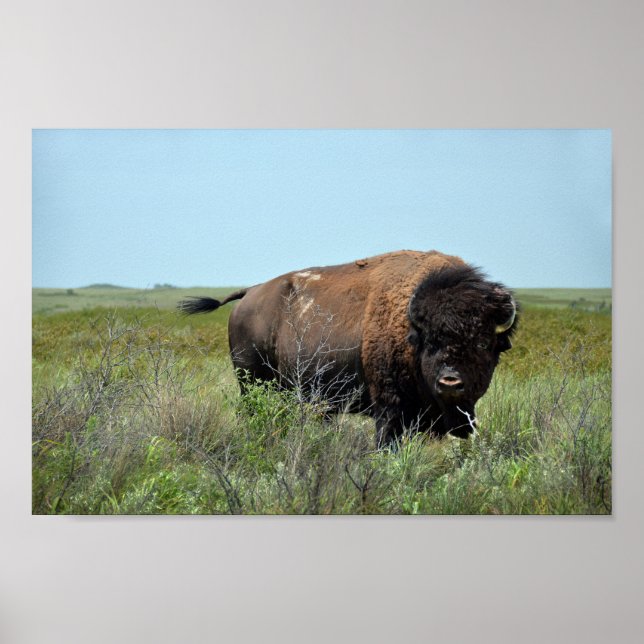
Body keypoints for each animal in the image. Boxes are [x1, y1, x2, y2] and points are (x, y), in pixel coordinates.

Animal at [178, 250, 517, 447]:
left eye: (483, 342)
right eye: (431, 342)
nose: (450, 382)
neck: (411, 329)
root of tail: (250, 294)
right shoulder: (389, 408)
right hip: (252, 384)